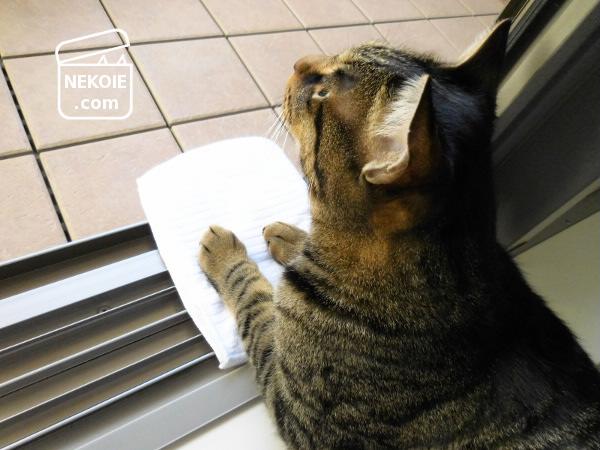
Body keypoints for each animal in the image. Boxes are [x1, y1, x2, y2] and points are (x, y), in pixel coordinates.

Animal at [198, 19, 600, 449]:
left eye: (321, 93)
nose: (299, 60)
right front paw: (290, 237)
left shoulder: (293, 405)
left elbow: (254, 304)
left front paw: (224, 252)